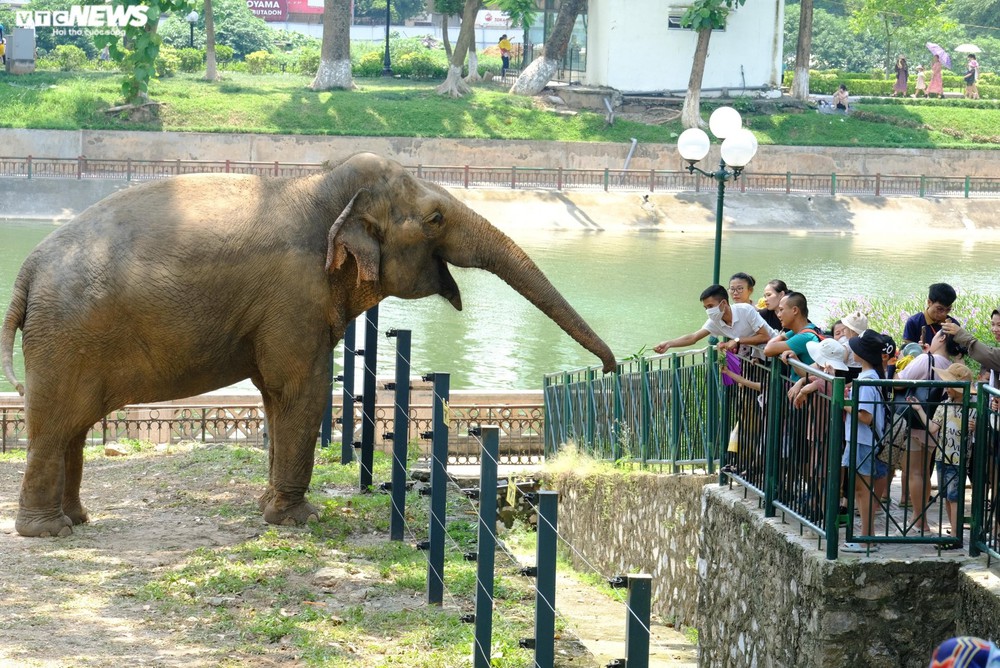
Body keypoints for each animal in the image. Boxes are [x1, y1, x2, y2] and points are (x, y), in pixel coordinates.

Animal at [1, 153, 616, 536]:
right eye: (437, 217)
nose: (610, 369)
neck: (321, 186)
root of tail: (27, 270)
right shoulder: (294, 294)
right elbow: (302, 387)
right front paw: (300, 521)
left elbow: (276, 395)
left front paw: (268, 508)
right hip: (65, 337)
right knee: (55, 425)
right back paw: (49, 533)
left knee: (72, 427)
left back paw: (77, 520)